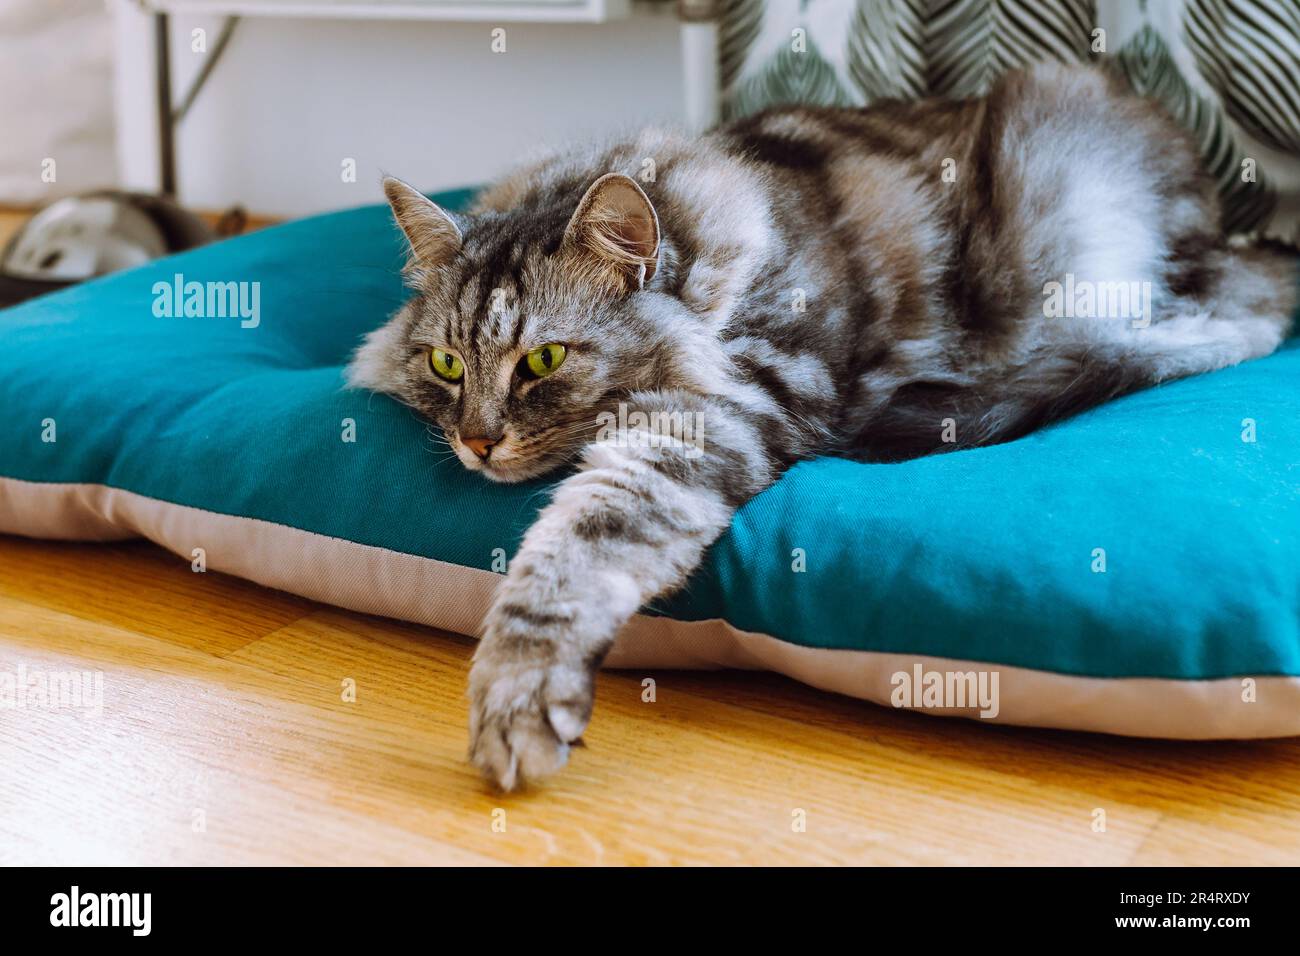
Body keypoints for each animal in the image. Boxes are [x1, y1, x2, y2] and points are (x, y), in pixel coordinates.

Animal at [351, 61, 1294, 790]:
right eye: (446, 367)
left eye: (542, 361)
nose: (477, 443)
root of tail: (1238, 237)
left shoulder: (720, 415)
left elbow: (570, 555)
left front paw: (514, 708)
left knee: (1213, 330)